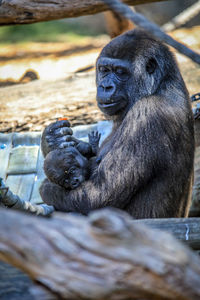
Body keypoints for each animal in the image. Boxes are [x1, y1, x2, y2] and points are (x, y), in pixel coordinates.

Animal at [39, 29, 194, 218]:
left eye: (120, 72)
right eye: (104, 70)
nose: (105, 87)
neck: (161, 84)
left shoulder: (149, 113)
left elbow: (96, 198)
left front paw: (46, 188)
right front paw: (53, 139)